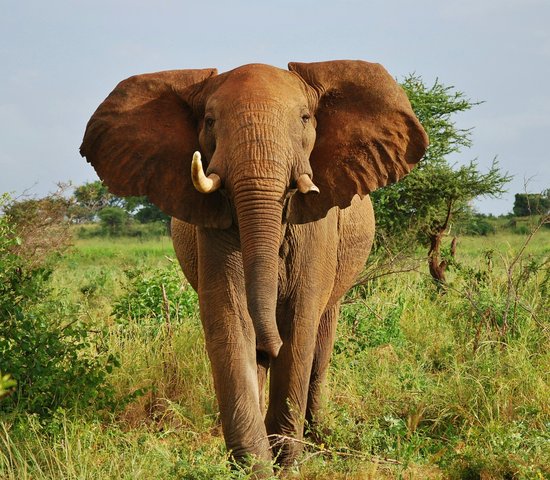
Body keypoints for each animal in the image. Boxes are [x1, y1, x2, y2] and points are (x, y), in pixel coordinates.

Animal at [80, 60, 430, 472]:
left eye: (305, 118)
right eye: (210, 121)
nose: (269, 346)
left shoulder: (317, 225)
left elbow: (299, 322)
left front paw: (287, 462)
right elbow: (230, 317)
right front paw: (255, 466)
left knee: (321, 340)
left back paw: (317, 437)